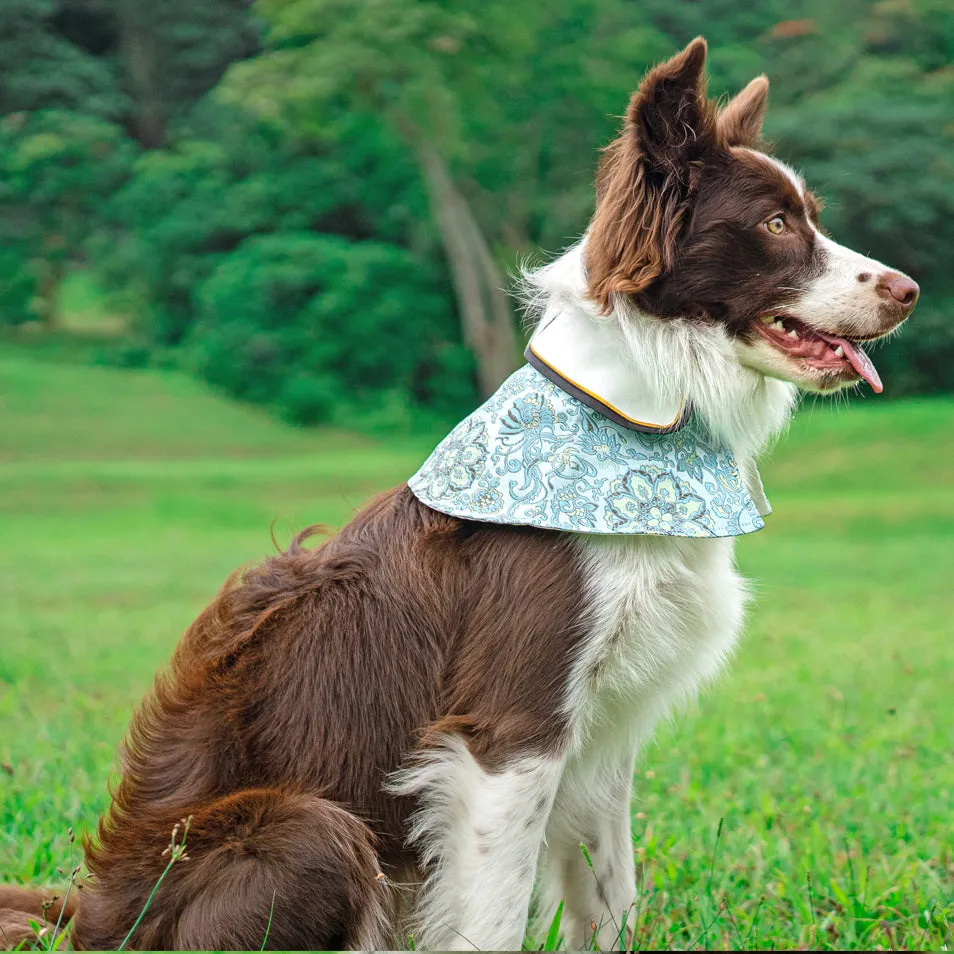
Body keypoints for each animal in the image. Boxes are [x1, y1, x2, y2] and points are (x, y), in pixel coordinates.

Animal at [7, 37, 916, 952]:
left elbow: (609, 895)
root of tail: (93, 919)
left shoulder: (603, 734)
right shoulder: (510, 733)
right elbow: (495, 914)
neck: (632, 426)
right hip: (314, 829)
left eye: (809, 216)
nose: (909, 291)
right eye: (775, 225)